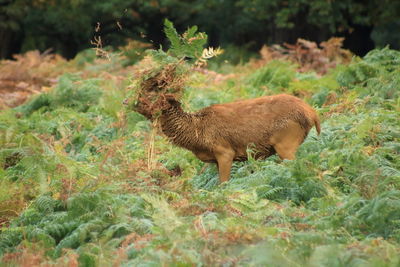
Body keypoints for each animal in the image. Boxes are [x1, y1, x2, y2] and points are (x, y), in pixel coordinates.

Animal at [133, 93, 320, 183]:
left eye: (156, 99)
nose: (134, 102)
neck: (197, 137)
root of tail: (312, 113)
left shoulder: (225, 151)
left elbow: (223, 183)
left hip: (285, 142)